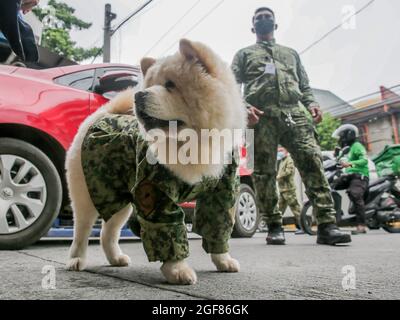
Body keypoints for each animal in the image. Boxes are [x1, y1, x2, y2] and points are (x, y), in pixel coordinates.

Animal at [65, 38, 247, 284]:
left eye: (170, 85)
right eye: (149, 85)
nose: (138, 95)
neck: (192, 144)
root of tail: (101, 115)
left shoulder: (222, 192)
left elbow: (218, 226)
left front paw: (223, 261)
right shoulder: (156, 191)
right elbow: (168, 231)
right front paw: (178, 270)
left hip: (120, 199)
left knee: (108, 232)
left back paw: (116, 259)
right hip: (88, 194)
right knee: (82, 230)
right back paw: (76, 260)